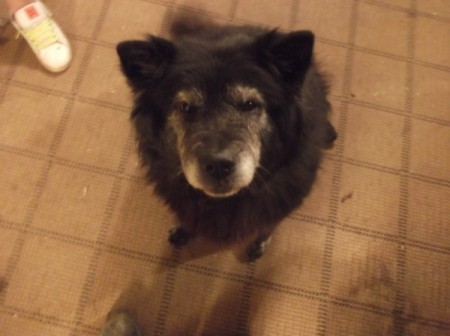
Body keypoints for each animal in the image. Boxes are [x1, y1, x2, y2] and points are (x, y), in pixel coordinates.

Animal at [118, 14, 336, 262]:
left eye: (250, 104)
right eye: (185, 107)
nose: (219, 166)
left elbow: (266, 227)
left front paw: (259, 244)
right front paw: (183, 230)